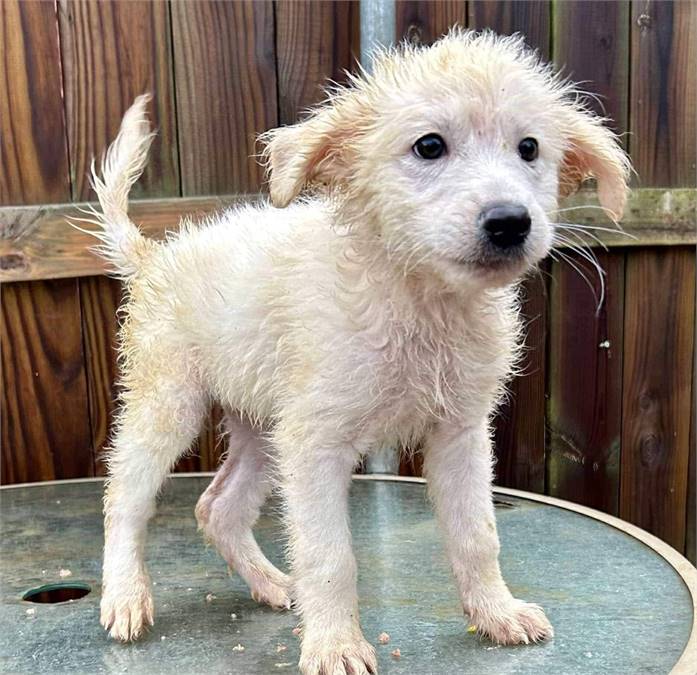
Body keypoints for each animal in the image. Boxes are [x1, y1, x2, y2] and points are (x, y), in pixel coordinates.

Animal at [89, 30, 628, 675]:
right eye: (429, 146)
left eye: (529, 148)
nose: (510, 222)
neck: (418, 301)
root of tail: (154, 256)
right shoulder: (317, 445)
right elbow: (329, 556)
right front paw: (335, 646)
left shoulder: (460, 434)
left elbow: (478, 536)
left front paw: (497, 614)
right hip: (168, 403)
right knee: (125, 497)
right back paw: (125, 597)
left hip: (265, 428)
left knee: (217, 509)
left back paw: (273, 585)